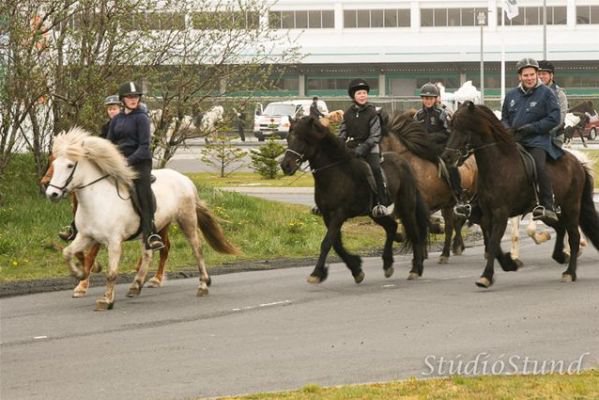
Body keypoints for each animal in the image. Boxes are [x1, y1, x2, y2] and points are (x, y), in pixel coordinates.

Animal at [40, 155, 171, 296]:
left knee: (164, 247)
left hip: (162, 226)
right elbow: (78, 252)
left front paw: (83, 284)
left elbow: (90, 256)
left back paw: (156, 279)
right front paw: (91, 269)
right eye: (51, 159)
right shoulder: (82, 233)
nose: (45, 183)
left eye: (70, 165)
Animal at [278, 115, 428, 284]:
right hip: (373, 213)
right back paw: (388, 264)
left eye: (304, 139)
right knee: (391, 227)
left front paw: (316, 273)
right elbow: (336, 244)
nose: (285, 166)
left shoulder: (339, 214)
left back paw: (415, 269)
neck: (335, 173)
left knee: (414, 234)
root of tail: (403, 161)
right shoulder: (327, 215)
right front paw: (356, 269)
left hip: (406, 207)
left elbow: (327, 243)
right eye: (288, 138)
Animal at [382, 111, 480, 264]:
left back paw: (449, 251)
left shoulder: (425, 204)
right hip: (449, 204)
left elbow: (424, 226)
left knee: (455, 224)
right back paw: (454, 248)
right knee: (454, 223)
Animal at [440, 100, 599, 288]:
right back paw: (560, 256)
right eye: (451, 126)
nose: (447, 157)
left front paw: (486, 276)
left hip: (571, 206)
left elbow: (493, 242)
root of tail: (578, 163)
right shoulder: (487, 214)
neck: (499, 165)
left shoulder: (501, 212)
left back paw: (570, 272)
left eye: (464, 128)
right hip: (549, 212)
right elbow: (493, 242)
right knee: (560, 228)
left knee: (573, 236)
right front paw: (510, 263)